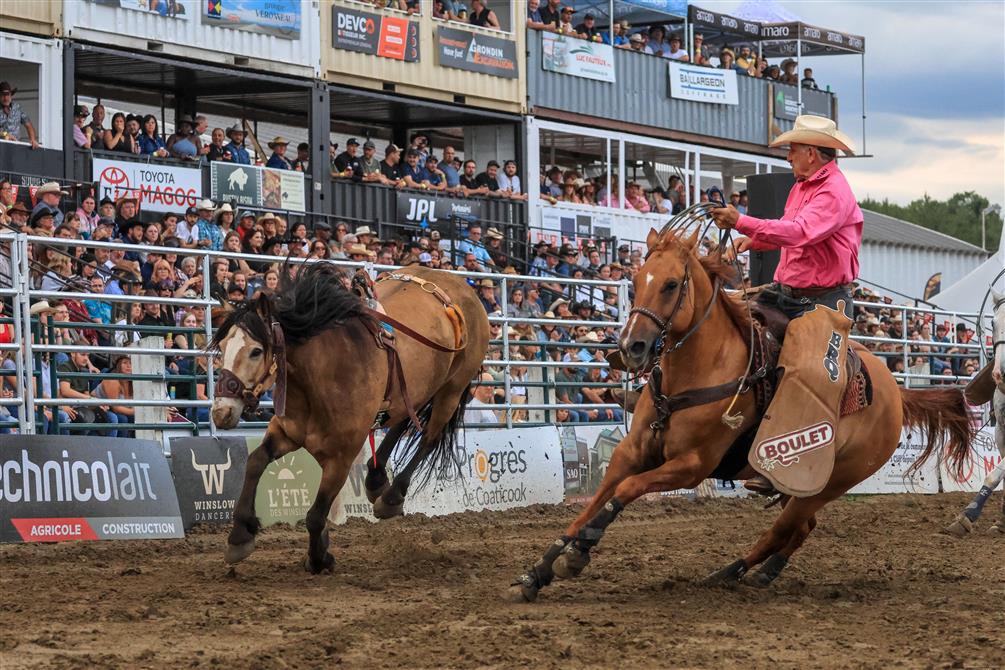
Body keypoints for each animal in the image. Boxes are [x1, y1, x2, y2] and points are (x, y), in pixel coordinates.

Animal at [213, 261, 490, 570]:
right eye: (222, 348)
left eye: (256, 351)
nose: (221, 411)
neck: (323, 373)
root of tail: (463, 286)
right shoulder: (285, 432)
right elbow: (255, 462)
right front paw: (240, 535)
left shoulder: (341, 457)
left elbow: (316, 515)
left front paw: (319, 558)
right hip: (418, 388)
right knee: (404, 419)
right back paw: (376, 478)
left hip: (451, 389)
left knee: (429, 437)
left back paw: (391, 497)